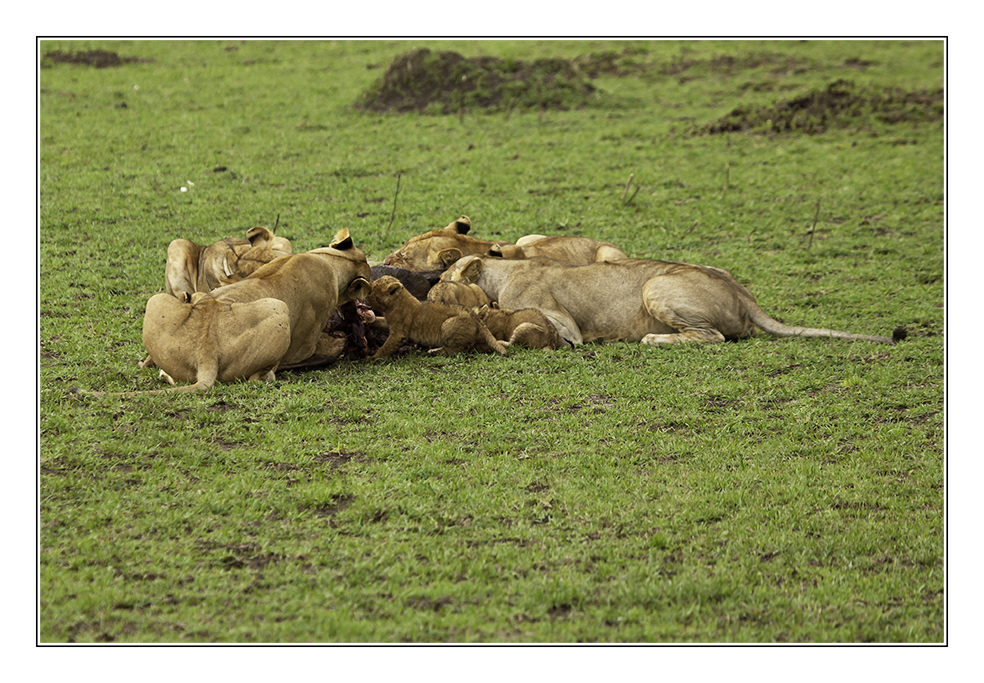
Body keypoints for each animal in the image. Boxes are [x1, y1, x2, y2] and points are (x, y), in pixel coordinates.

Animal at [99, 228, 368, 396]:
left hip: (156, 300)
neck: (329, 260)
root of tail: (206, 352)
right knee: (259, 377)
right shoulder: (305, 345)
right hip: (278, 308)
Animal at [368, 276, 508, 358]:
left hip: (447, 325)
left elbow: (386, 347)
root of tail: (476, 317)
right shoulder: (388, 322)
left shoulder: (399, 334)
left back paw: (434, 351)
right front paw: (367, 319)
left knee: (462, 348)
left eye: (371, 291)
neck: (393, 305)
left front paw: (372, 358)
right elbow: (378, 321)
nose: (365, 296)